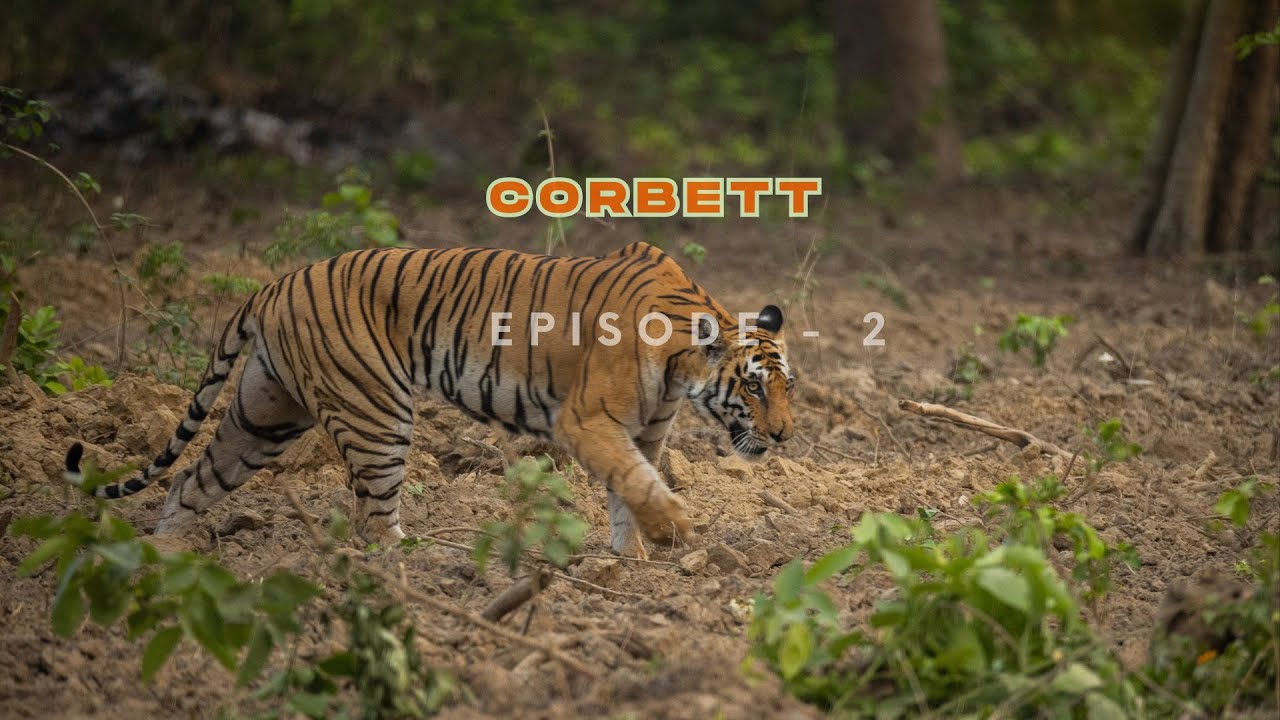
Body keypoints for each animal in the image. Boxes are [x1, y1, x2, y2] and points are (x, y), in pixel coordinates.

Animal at [64, 241, 796, 558]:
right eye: (754, 387)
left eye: (788, 386)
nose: (787, 436)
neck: (682, 363)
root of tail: (275, 284)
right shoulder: (589, 422)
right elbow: (638, 483)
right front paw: (675, 534)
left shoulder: (641, 431)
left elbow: (630, 488)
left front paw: (632, 560)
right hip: (377, 412)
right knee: (373, 521)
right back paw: (420, 565)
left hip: (265, 413)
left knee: (189, 479)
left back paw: (165, 560)